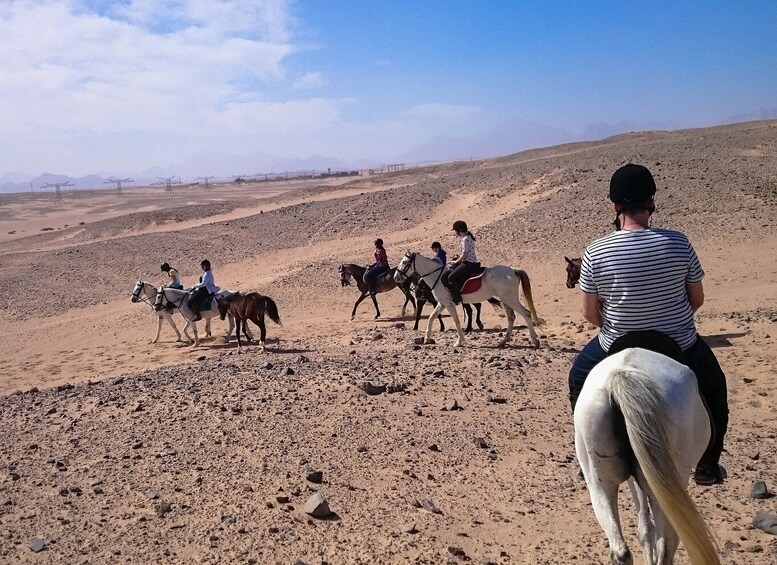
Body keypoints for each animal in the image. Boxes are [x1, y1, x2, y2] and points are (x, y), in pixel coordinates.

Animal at [394, 251, 540, 348]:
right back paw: (504, 341)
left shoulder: (449, 304)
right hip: (506, 300)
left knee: (526, 313)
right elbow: (431, 317)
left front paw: (459, 341)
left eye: (405, 262)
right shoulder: (442, 303)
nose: (396, 277)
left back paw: (535, 340)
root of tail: (513, 270)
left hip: (510, 299)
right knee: (511, 318)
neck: (437, 276)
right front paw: (426, 338)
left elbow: (456, 321)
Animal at [572, 346, 720, 560]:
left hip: (600, 483)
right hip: (669, 484)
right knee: (668, 544)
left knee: (620, 550)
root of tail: (620, 375)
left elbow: (644, 529)